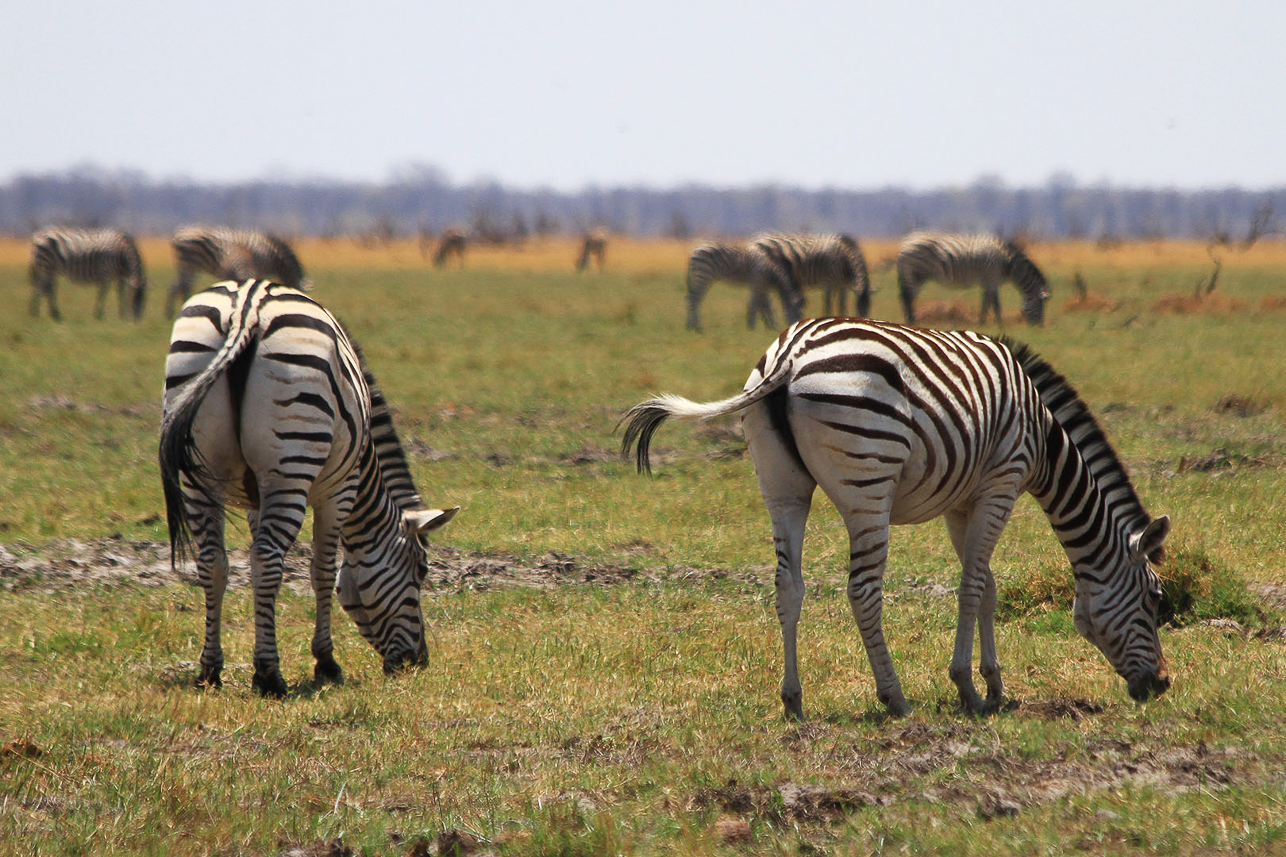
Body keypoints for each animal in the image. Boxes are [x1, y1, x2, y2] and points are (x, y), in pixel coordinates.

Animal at [160, 279, 460, 694]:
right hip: (293, 457)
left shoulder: (256, 498)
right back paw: (269, 675)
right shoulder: (339, 490)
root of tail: (249, 301)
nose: (418, 661)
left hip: (197, 466)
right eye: (421, 570)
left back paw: (210, 670)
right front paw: (326, 662)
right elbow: (323, 570)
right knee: (267, 560)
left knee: (213, 561)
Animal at [168, 226, 308, 316]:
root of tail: (179, 235)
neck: (269, 255)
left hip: (189, 266)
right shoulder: (247, 270)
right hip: (188, 264)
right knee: (184, 286)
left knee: (177, 285)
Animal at [617, 316, 1172, 715]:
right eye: (1154, 598)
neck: (1043, 437)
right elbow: (972, 586)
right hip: (869, 485)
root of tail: (789, 354)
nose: (1164, 684)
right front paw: (967, 688)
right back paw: (894, 697)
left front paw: (994, 685)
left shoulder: (962, 500)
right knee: (863, 591)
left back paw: (793, 700)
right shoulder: (1001, 482)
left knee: (786, 585)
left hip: (782, 487)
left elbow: (988, 586)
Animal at [895, 231, 1054, 325]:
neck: (1007, 263)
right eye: (1040, 305)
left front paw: (986, 322)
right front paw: (997, 323)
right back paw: (911, 321)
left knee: (905, 296)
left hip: (914, 274)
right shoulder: (992, 277)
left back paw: (910, 320)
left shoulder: (989, 281)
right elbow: (994, 303)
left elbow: (987, 302)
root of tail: (905, 244)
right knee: (907, 297)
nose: (1038, 327)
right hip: (916, 272)